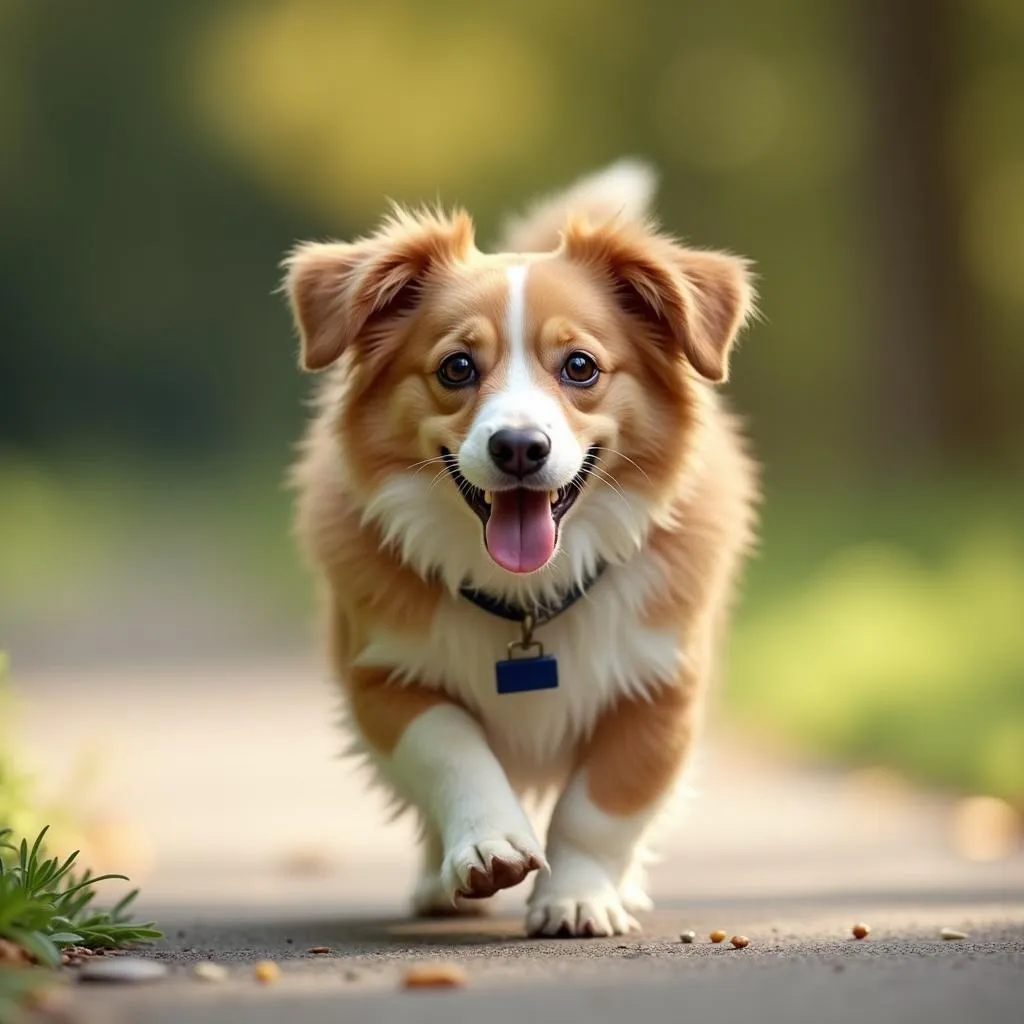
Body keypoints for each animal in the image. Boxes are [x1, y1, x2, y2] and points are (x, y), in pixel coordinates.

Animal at [284, 157, 757, 937]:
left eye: (580, 366)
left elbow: (600, 807)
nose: (518, 447)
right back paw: (437, 883)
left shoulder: (661, 690)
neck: (530, 593)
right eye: (456, 368)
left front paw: (578, 897)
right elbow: (452, 749)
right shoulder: (382, 677)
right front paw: (488, 848)